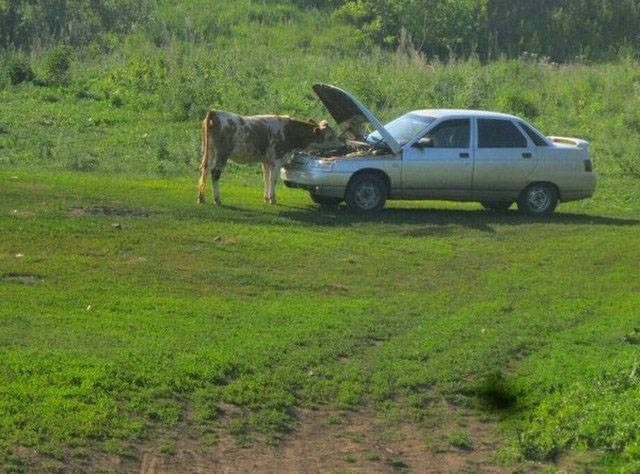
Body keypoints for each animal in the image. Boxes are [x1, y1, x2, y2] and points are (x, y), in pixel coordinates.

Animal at [199, 110, 342, 205]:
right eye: (330, 136)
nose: (343, 144)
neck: (289, 131)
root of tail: (215, 112)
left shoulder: (266, 161)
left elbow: (266, 178)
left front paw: (266, 198)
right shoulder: (277, 160)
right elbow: (273, 179)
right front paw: (272, 199)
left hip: (209, 151)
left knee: (204, 169)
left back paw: (201, 198)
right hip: (222, 153)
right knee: (215, 172)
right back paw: (217, 199)